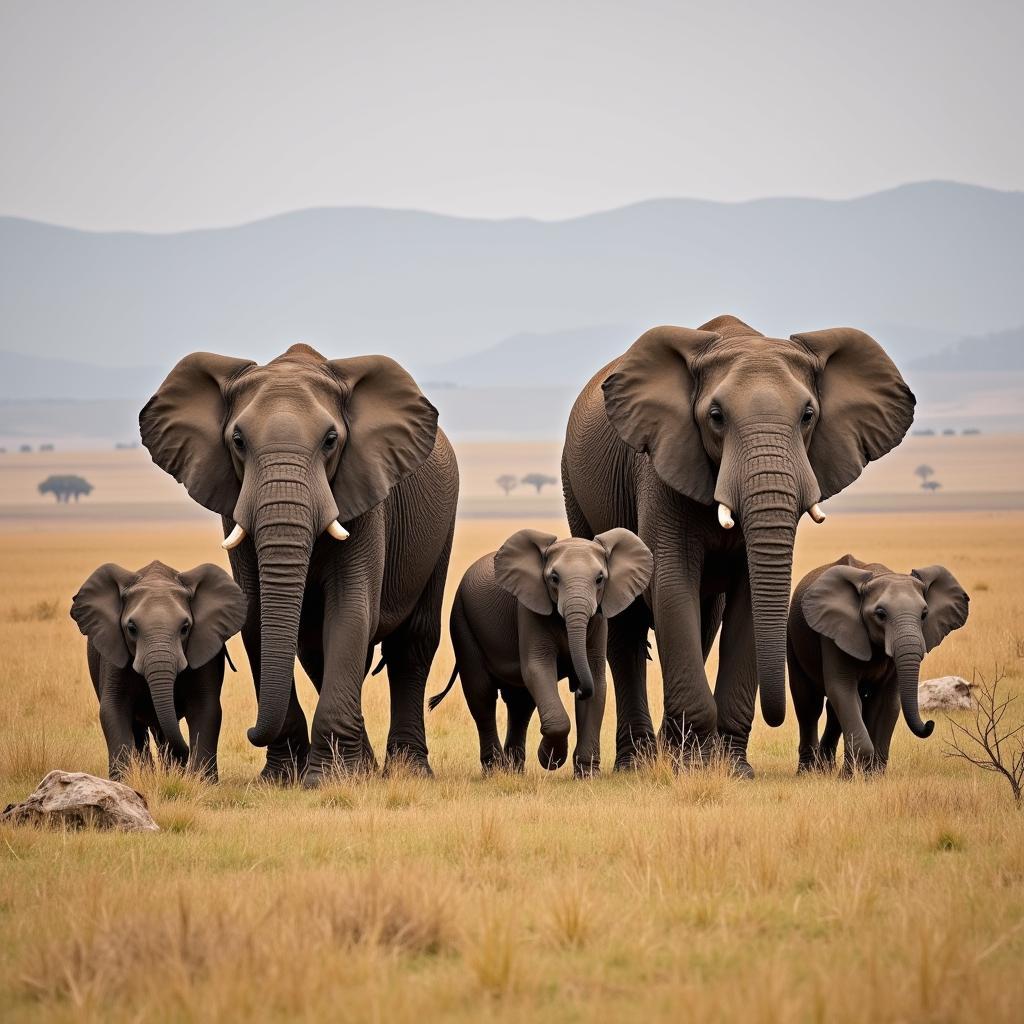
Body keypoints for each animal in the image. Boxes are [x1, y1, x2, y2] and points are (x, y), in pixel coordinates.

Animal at [71, 557, 246, 778]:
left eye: (185, 628)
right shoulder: (113, 652)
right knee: (141, 731)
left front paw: (202, 781)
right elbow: (113, 708)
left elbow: (205, 707)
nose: (185, 753)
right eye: (131, 628)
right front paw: (123, 781)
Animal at [138, 344, 458, 782]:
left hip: (442, 528)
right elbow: (255, 615)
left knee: (412, 645)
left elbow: (351, 610)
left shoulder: (366, 496)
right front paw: (283, 778)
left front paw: (324, 779)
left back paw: (406, 771)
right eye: (238, 440)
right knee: (316, 654)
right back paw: (364, 769)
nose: (248, 730)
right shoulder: (234, 505)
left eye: (330, 440)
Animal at [428, 528, 651, 774]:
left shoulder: (599, 617)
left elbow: (596, 678)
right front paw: (550, 759)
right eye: (554, 578)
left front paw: (587, 773)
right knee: (481, 694)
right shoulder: (528, 609)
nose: (578, 689)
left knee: (520, 702)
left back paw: (514, 770)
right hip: (462, 621)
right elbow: (539, 668)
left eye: (600, 579)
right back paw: (495, 770)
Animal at [565, 313, 917, 774]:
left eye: (808, 415)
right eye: (716, 416)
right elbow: (671, 582)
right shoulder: (660, 466)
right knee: (625, 628)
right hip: (578, 496)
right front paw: (694, 765)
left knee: (705, 622)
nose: (777, 715)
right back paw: (638, 762)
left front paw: (731, 768)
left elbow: (748, 596)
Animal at [786, 557, 970, 770]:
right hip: (793, 639)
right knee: (808, 704)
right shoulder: (835, 633)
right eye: (881, 614)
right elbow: (843, 691)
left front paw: (871, 774)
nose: (930, 724)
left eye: (924, 614)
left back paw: (826, 768)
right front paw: (850, 776)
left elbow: (888, 701)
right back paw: (809, 771)